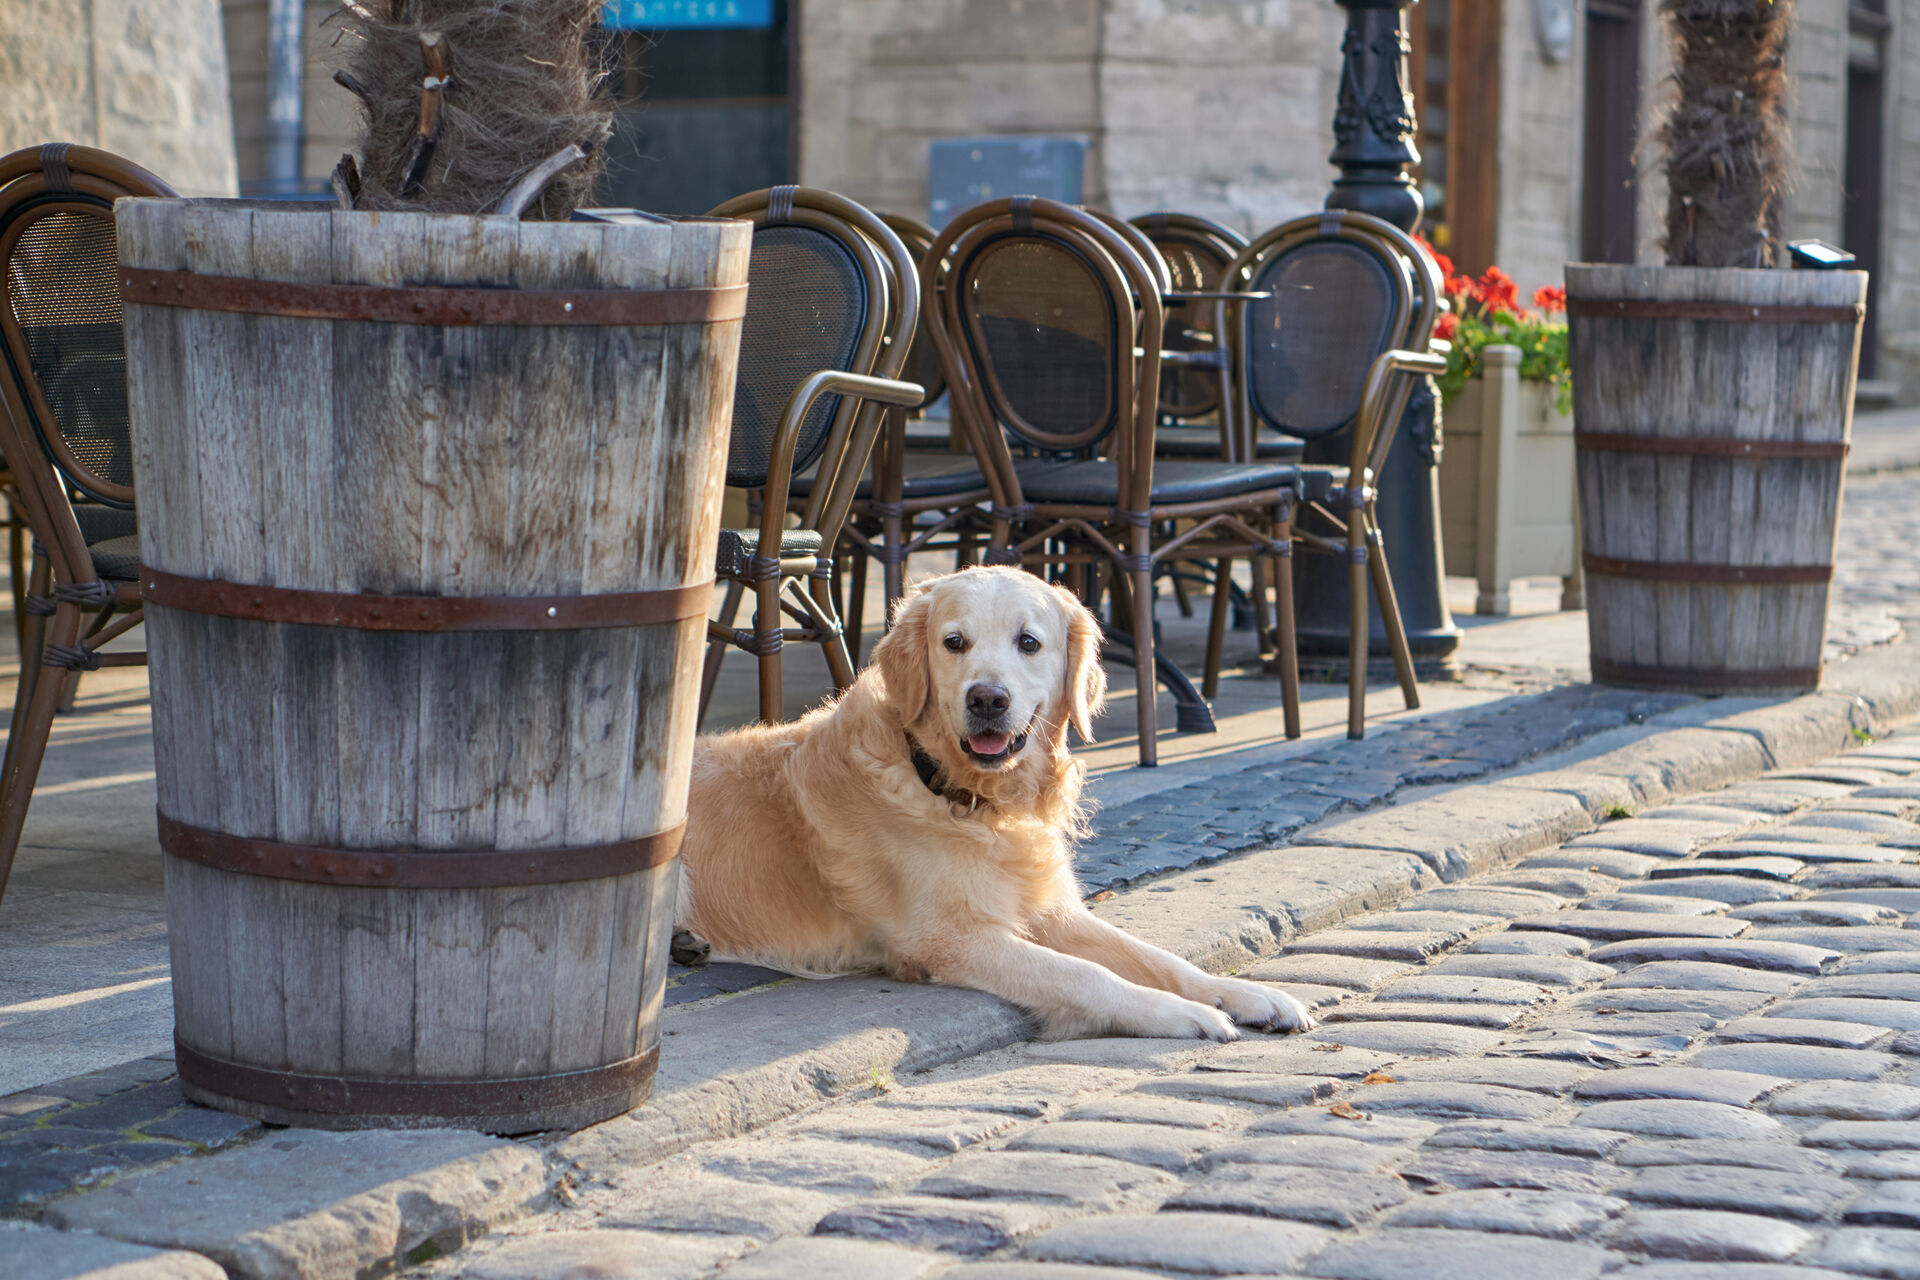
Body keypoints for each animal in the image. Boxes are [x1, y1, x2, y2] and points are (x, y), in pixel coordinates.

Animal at [668, 571, 1313, 1043]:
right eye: (954, 642)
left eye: (1029, 642)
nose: (987, 699)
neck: (971, 799)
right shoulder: (948, 938)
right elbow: (1087, 974)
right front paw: (1180, 1014)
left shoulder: (1053, 911)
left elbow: (1160, 958)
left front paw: (1252, 995)